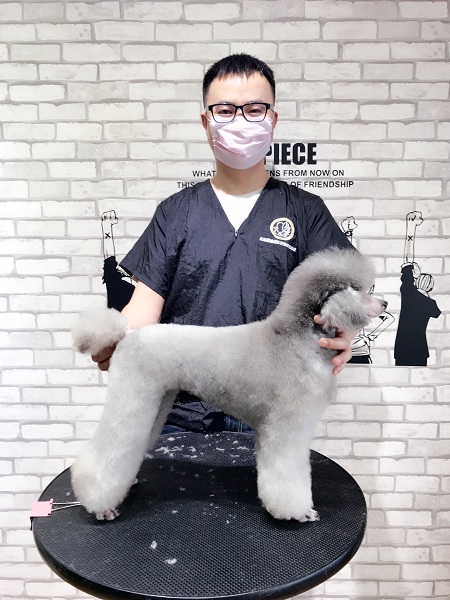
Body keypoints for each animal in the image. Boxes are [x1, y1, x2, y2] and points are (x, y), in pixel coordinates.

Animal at [71, 247, 387, 522]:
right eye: (356, 290)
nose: (384, 304)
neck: (295, 340)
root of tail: (125, 335)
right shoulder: (286, 427)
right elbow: (287, 473)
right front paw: (297, 512)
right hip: (132, 395)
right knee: (105, 452)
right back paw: (100, 505)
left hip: (156, 399)